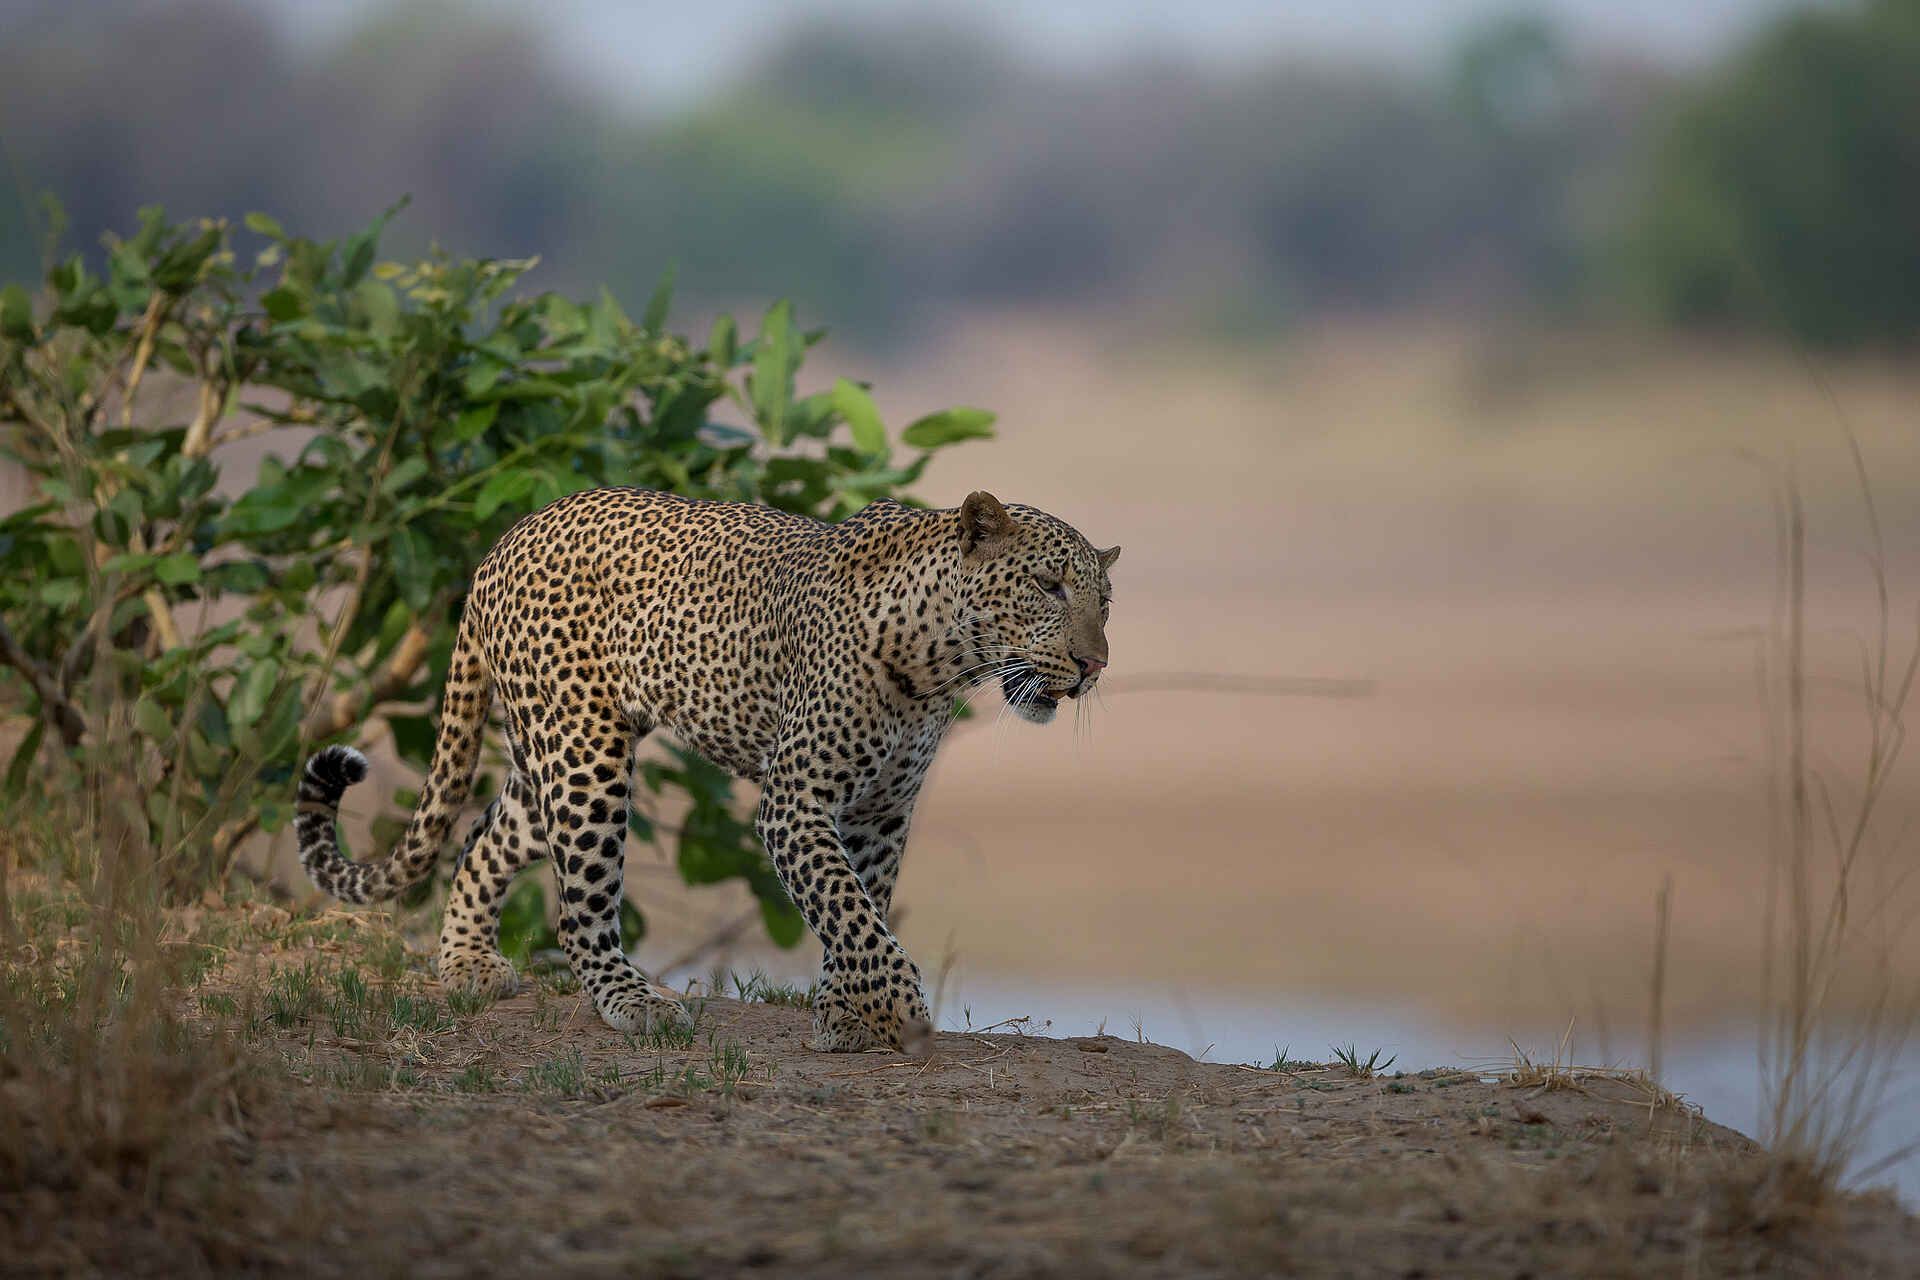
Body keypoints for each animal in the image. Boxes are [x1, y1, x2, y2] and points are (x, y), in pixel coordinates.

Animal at [293, 487, 1117, 1053]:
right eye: (1047, 586)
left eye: (1104, 603)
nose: (1094, 665)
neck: (940, 665)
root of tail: (505, 541)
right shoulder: (796, 802)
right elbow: (848, 908)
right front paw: (894, 1013)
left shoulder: (880, 811)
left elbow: (862, 906)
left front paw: (844, 1012)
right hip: (587, 756)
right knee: (578, 909)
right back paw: (636, 1004)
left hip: (551, 756)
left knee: (481, 841)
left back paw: (466, 963)